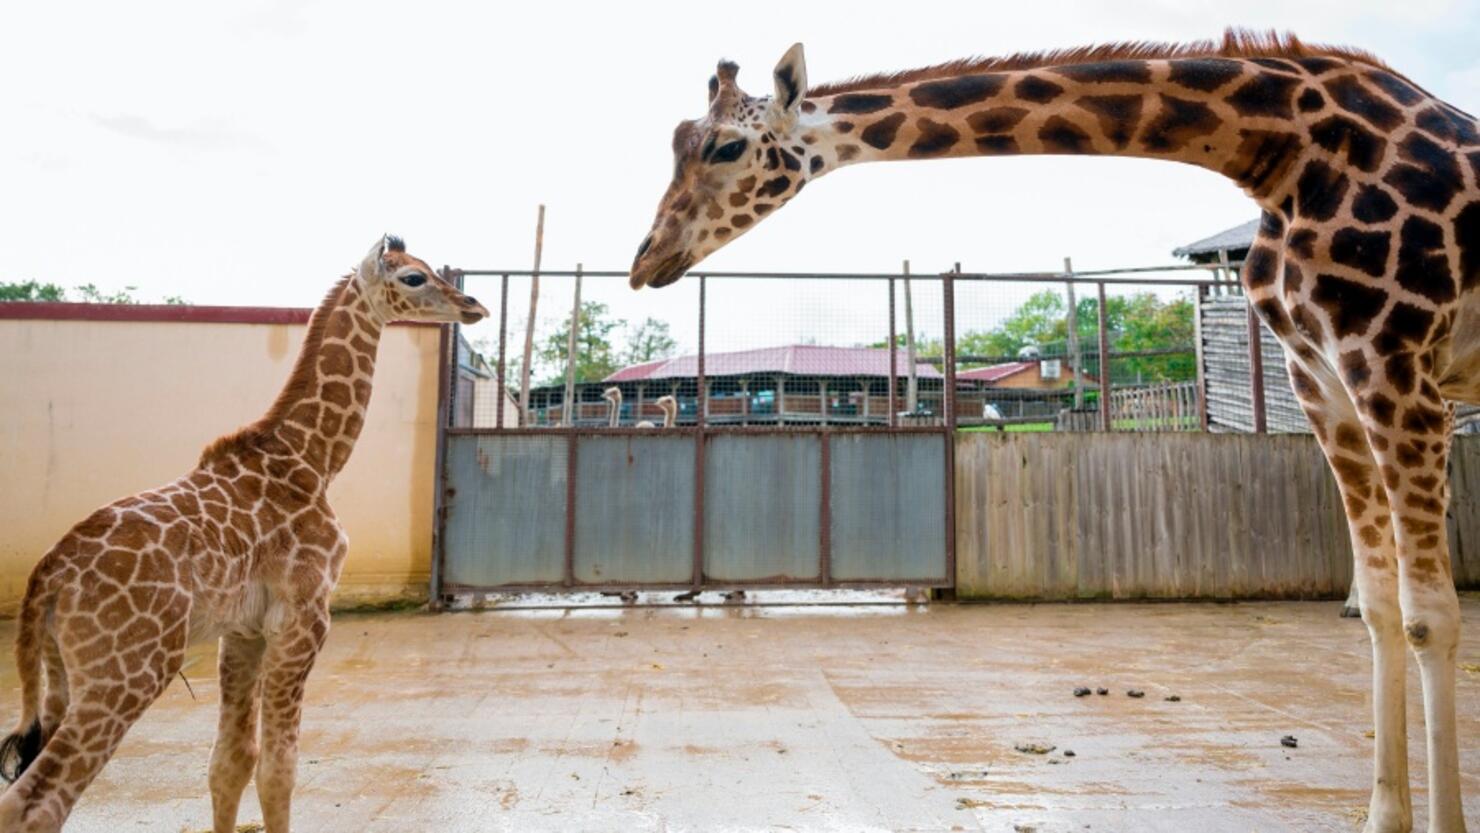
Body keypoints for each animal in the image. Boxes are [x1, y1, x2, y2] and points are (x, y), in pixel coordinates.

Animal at [0, 236, 491, 833]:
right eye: (414, 278)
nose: (473, 305)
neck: (312, 460)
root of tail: (46, 578)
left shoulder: (243, 631)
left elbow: (229, 764)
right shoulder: (304, 617)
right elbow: (279, 768)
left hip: (61, 674)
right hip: (127, 671)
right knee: (37, 802)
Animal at [630, 30, 1474, 833]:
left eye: (725, 147)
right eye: (677, 140)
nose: (646, 259)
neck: (1278, 153)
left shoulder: (1397, 366)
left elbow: (1428, 616)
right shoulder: (1322, 380)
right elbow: (1380, 609)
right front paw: (1383, 815)